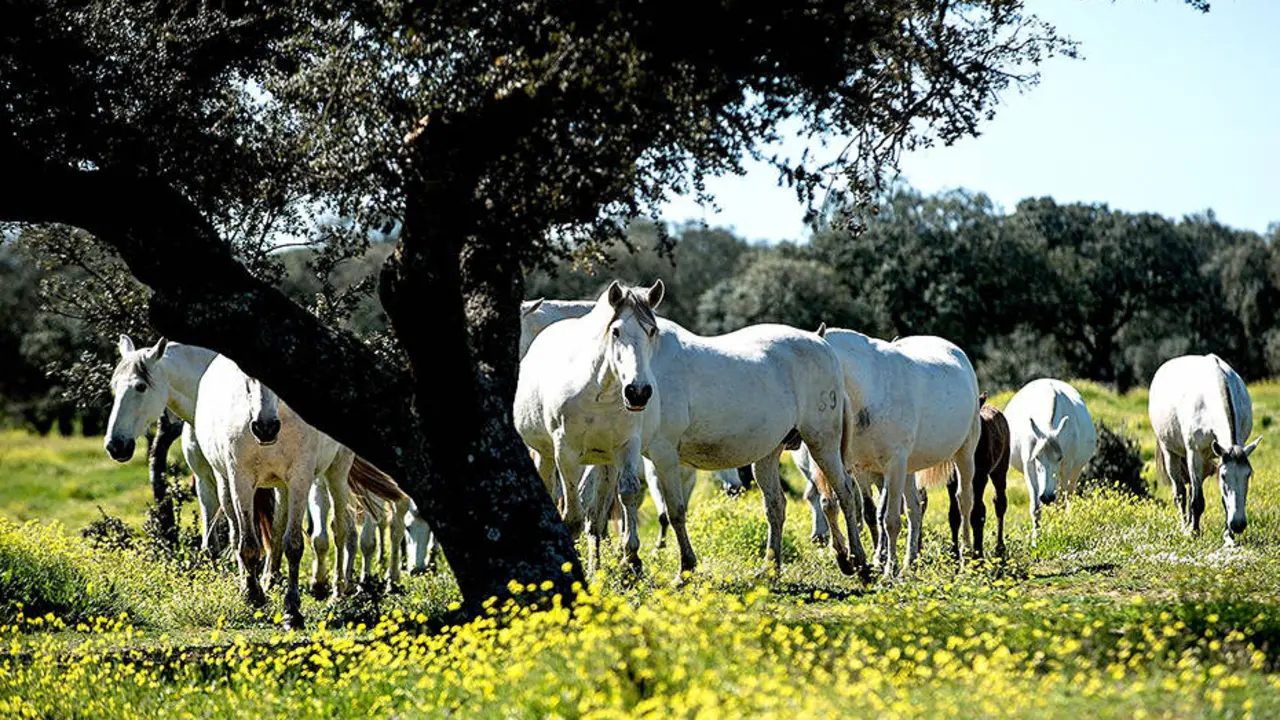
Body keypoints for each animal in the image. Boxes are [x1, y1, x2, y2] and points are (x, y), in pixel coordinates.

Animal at [515, 281, 665, 575]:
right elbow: (571, 515)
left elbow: (626, 494)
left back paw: (597, 570)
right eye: (616, 331)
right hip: (546, 455)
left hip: (605, 462)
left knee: (596, 519)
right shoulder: (566, 455)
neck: (602, 392)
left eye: (652, 330)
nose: (638, 392)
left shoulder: (627, 446)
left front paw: (631, 558)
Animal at [1004, 378, 1097, 542]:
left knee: (1068, 497)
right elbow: (1035, 507)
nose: (1046, 497)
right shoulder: (1028, 466)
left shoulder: (1066, 467)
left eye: (1059, 457)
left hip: (1075, 472)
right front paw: (1036, 539)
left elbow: (1060, 504)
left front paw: (1058, 532)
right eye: (1036, 457)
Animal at [1149, 354, 1261, 545]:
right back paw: (1185, 527)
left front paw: (1228, 536)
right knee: (1180, 493)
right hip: (1171, 453)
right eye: (1224, 476)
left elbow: (1223, 500)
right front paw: (1194, 533)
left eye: (1248, 474)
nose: (1238, 525)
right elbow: (1197, 501)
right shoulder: (1195, 454)